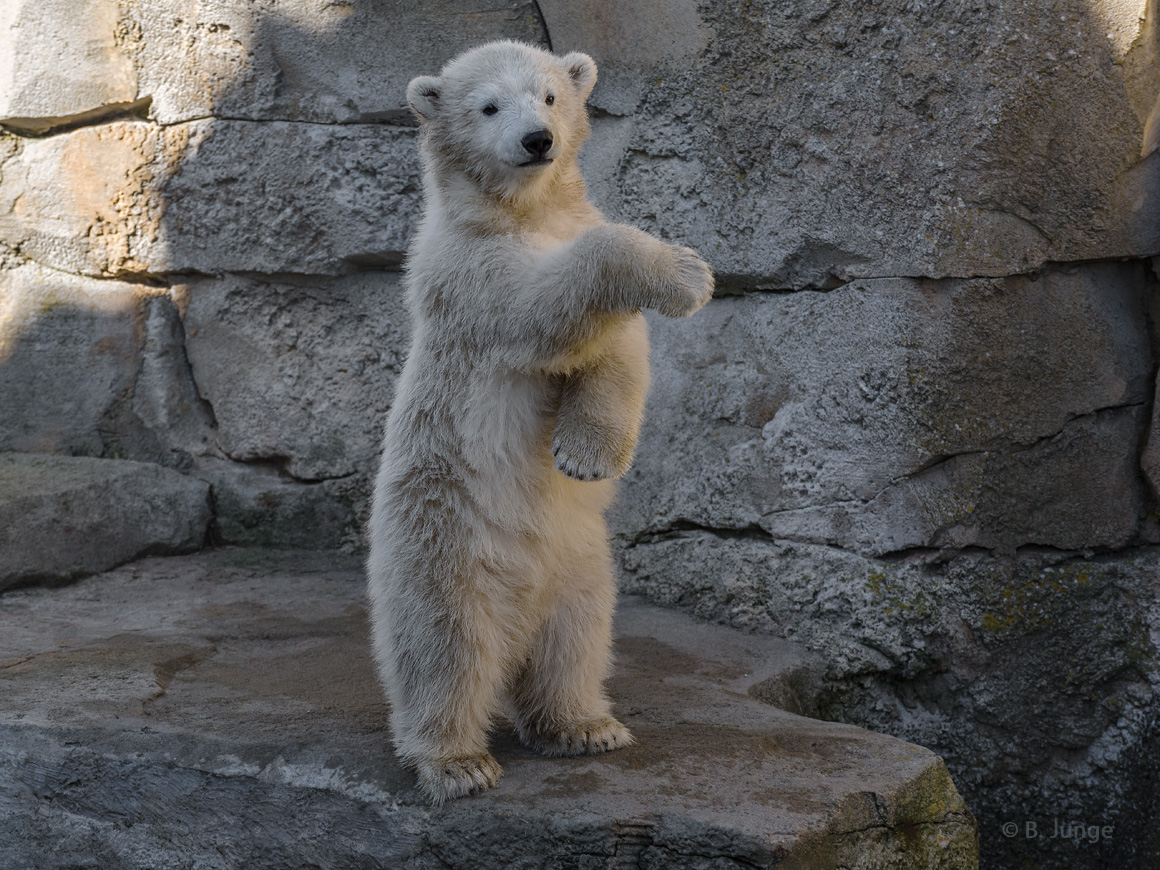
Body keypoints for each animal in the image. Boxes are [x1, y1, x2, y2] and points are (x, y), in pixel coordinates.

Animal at [366, 40, 709, 802]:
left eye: (550, 95)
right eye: (489, 106)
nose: (537, 140)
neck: (524, 211)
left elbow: (617, 354)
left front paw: (584, 455)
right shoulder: (466, 272)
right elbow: (541, 309)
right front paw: (685, 272)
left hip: (579, 566)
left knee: (575, 640)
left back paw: (584, 725)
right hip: (445, 545)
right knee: (445, 651)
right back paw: (456, 761)